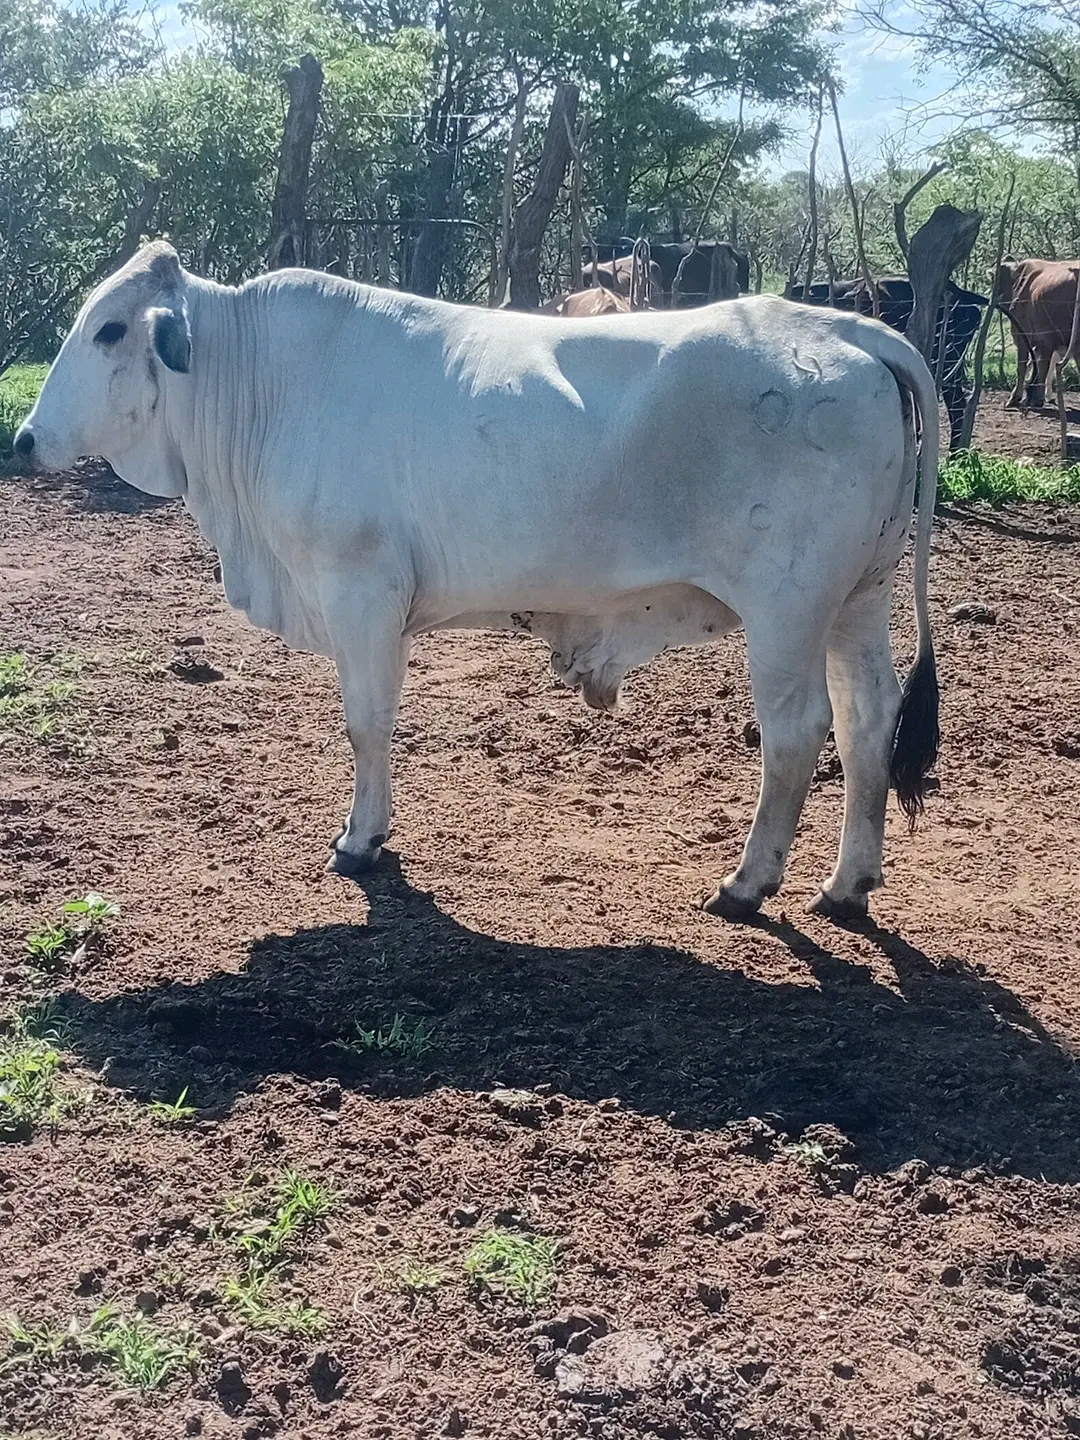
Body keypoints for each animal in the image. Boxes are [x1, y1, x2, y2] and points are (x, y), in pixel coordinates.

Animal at [15, 242, 940, 924]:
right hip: (857, 599)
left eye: (110, 330)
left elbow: (366, 724)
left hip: (787, 607)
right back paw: (847, 883)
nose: (21, 439)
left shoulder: (360, 593)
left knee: (797, 731)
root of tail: (852, 330)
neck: (255, 383)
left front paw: (360, 841)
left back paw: (748, 883)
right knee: (867, 720)